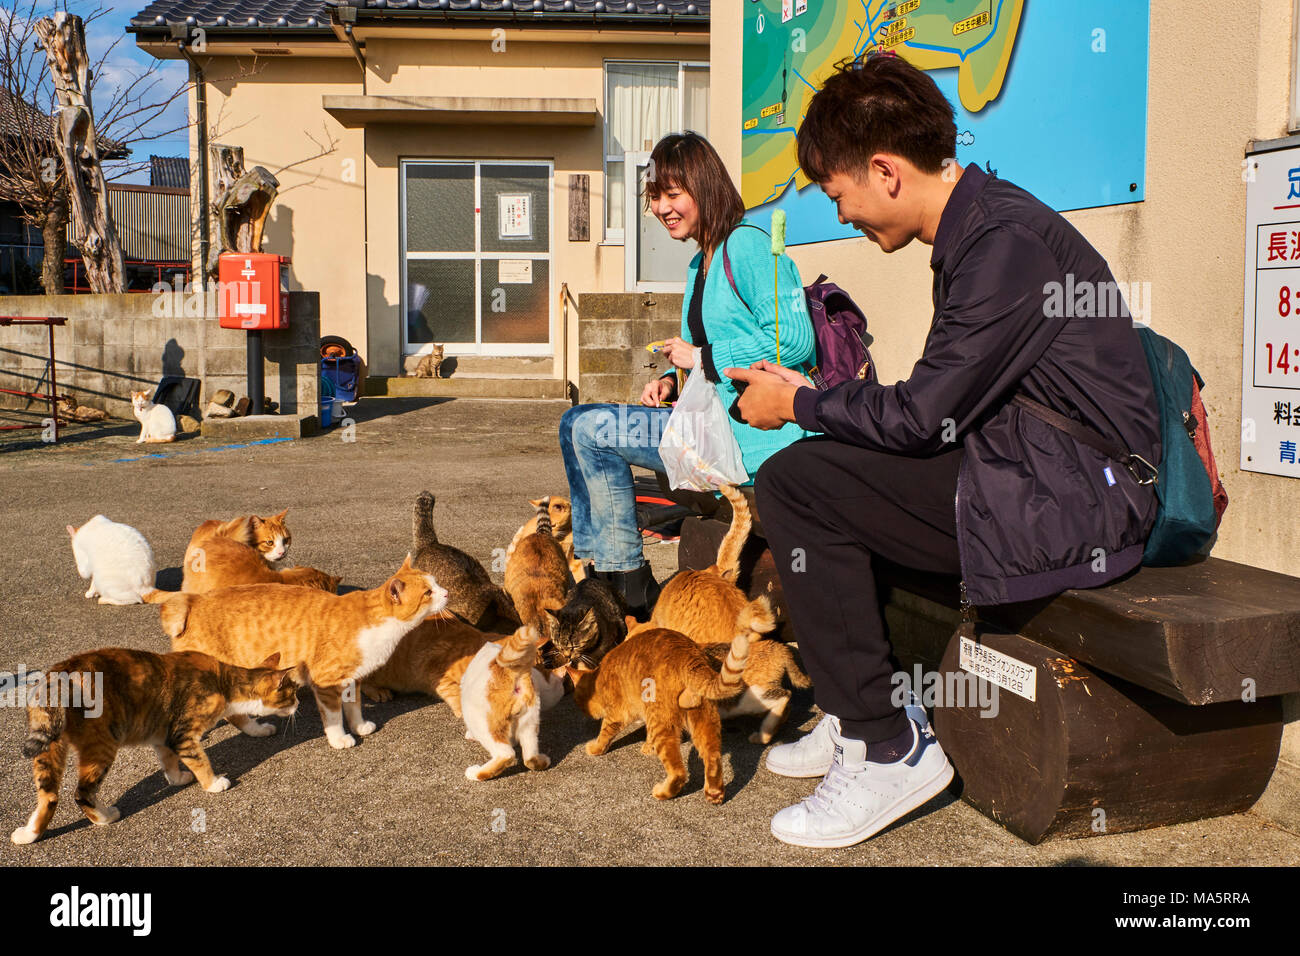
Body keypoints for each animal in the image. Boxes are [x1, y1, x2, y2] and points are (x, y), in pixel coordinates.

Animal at [10, 650, 299, 842]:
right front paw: (214, 783)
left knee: (49, 796)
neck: (224, 682)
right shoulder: (183, 734)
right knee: (82, 792)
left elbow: (169, 760)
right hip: (102, 744)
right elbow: (201, 761)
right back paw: (106, 817)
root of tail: (59, 674)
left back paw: (29, 834)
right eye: (293, 692)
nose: (299, 704)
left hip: (49, 746)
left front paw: (177, 778)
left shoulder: (163, 734)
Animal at [574, 624, 748, 806]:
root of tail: (688, 655)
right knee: (713, 758)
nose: (582, 711)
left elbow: (605, 734)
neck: (600, 676)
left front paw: (595, 748)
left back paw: (662, 792)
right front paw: (648, 747)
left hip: (662, 724)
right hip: (705, 720)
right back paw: (714, 795)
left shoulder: (616, 715)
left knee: (678, 772)